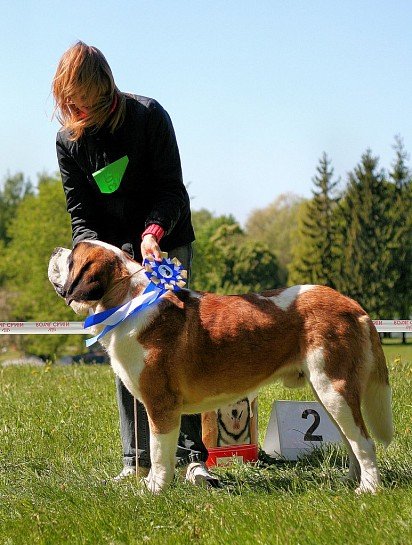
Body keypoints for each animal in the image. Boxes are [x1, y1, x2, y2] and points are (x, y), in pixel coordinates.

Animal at [48, 239, 392, 492]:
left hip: (334, 388)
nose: (55, 251)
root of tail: (351, 304)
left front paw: (154, 489)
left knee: (364, 441)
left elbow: (159, 450)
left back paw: (368, 489)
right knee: (351, 440)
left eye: (73, 256)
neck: (128, 301)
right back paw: (350, 481)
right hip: (328, 394)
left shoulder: (161, 404)